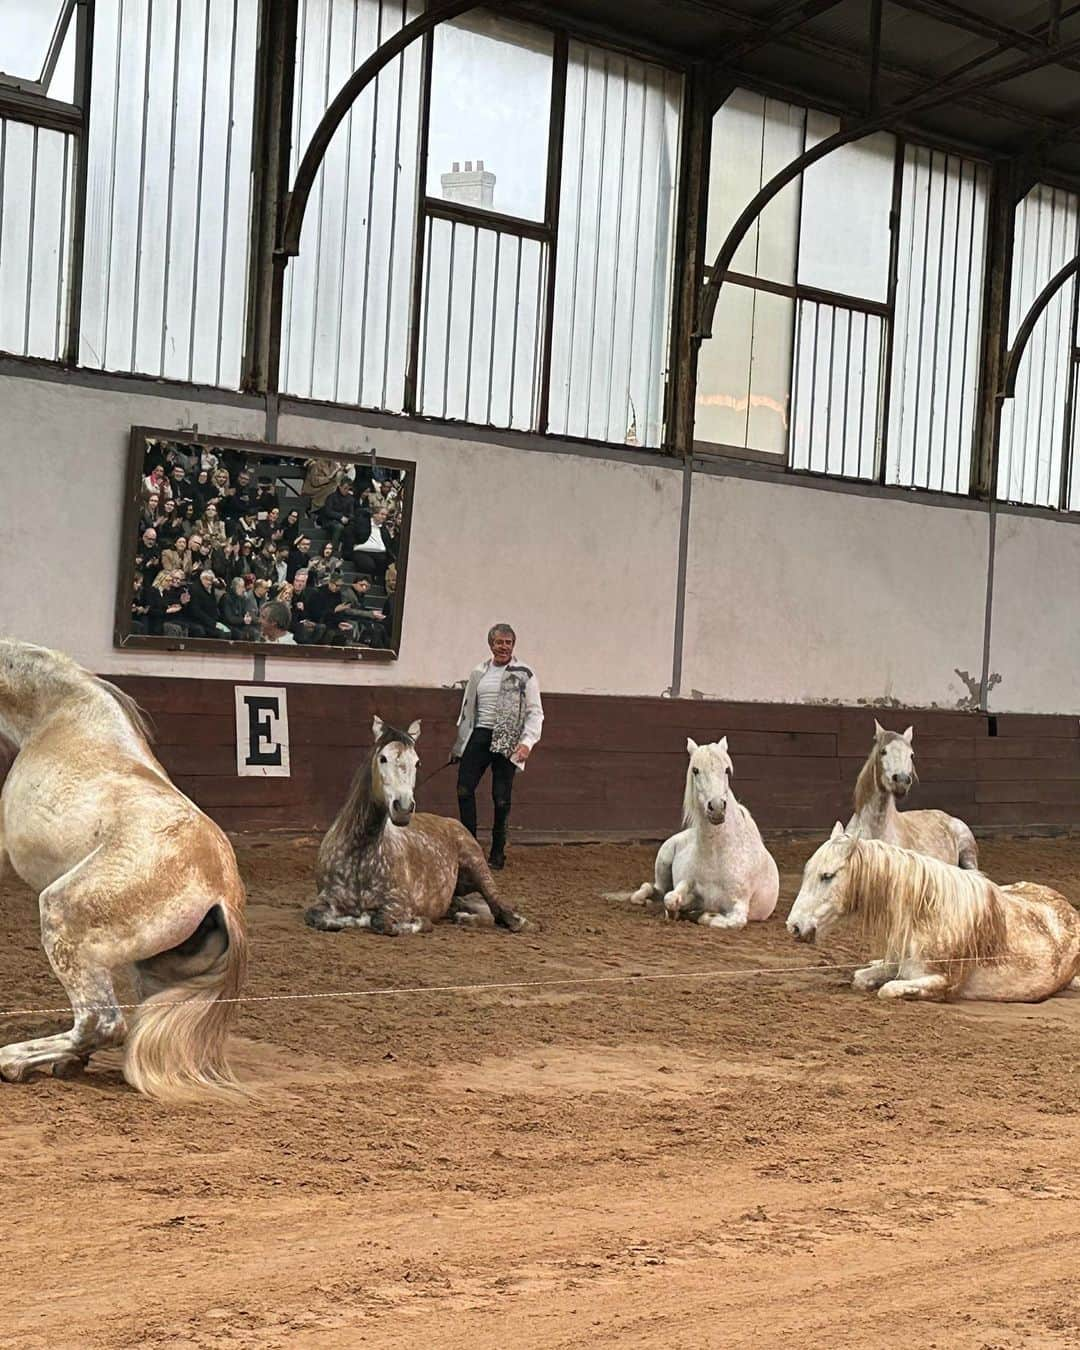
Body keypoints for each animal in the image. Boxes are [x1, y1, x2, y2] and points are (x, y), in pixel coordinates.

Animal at [0, 639, 247, 1096]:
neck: (57, 709)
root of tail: (222, 894)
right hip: (153, 970)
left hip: (61, 915)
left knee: (103, 1023)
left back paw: (14, 1060)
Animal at [629, 739, 783, 928]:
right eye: (695, 770)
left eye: (726, 770)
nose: (716, 807)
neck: (717, 855)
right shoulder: (686, 884)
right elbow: (671, 899)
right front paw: (680, 911)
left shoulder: (739, 906)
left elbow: (729, 922)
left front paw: (697, 913)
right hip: (663, 862)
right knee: (654, 889)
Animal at [783, 820, 1080, 1004]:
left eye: (827, 876)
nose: (794, 926)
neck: (929, 917)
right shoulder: (897, 965)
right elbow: (861, 978)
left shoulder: (940, 982)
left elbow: (888, 990)